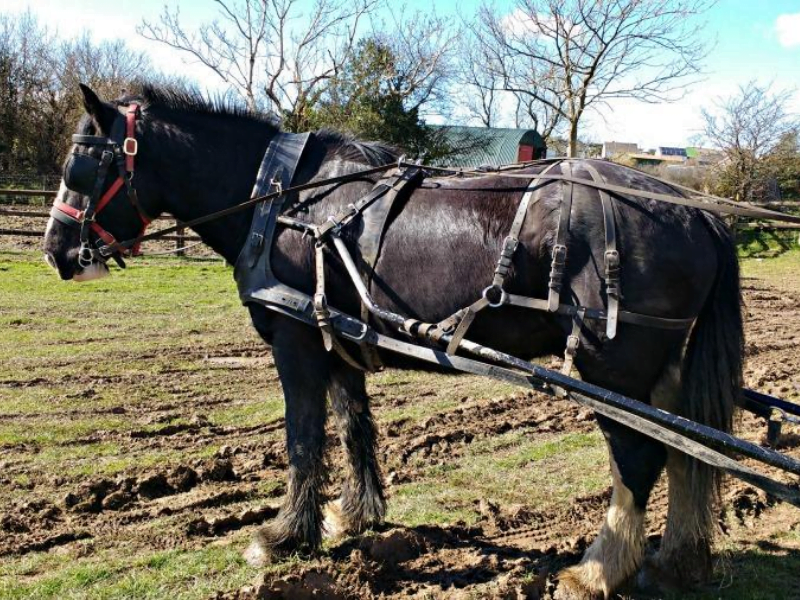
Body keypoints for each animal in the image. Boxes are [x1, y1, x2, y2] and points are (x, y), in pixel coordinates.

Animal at [43, 83, 744, 599]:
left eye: (85, 164)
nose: (56, 252)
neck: (284, 201)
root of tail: (695, 210)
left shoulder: (295, 342)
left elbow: (302, 439)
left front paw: (284, 536)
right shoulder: (336, 338)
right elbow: (354, 426)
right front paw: (355, 514)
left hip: (610, 369)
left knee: (640, 458)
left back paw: (599, 569)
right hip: (656, 370)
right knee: (687, 449)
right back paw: (677, 558)